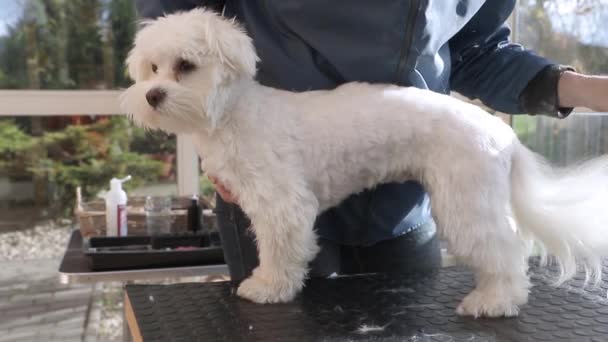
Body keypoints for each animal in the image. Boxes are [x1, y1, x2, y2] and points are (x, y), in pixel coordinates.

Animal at [120, 8, 608, 318]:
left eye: (185, 66)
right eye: (152, 69)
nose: (153, 95)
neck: (234, 112)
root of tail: (501, 133)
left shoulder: (283, 206)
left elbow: (282, 251)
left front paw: (268, 287)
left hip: (466, 201)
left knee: (507, 252)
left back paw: (495, 301)